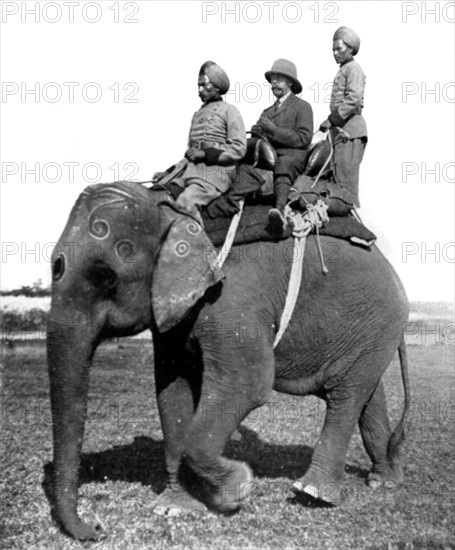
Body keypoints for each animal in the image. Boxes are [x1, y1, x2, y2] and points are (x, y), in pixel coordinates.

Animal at [46, 181, 410, 544]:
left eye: (104, 275)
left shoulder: (233, 300)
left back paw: (313, 493)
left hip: (378, 321)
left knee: (346, 396)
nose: (95, 530)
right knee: (365, 394)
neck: (173, 209)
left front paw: (237, 490)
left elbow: (248, 386)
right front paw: (176, 508)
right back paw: (384, 481)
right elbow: (172, 392)